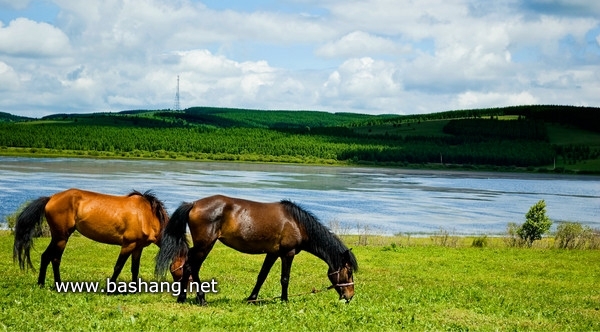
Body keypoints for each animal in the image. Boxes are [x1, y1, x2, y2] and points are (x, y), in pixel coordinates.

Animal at [13, 188, 183, 286]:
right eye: (185, 266)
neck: (146, 215)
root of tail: (50, 198)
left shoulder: (138, 247)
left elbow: (135, 269)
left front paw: (135, 289)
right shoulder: (127, 245)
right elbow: (118, 267)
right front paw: (110, 289)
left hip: (57, 237)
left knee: (45, 256)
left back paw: (41, 283)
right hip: (61, 237)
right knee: (55, 259)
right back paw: (58, 284)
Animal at [155, 195, 358, 306]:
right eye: (348, 271)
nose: (350, 296)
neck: (297, 223)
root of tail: (194, 204)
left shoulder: (272, 253)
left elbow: (262, 276)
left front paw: (251, 298)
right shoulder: (288, 253)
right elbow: (285, 279)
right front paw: (285, 300)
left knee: (188, 267)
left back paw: (183, 298)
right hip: (204, 246)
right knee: (192, 268)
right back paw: (200, 299)